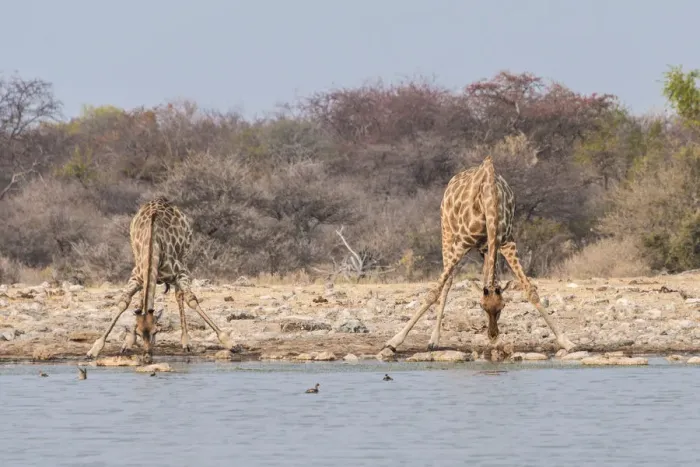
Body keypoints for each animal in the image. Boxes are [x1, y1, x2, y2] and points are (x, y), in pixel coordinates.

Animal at [86, 197, 237, 361]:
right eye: (140, 333)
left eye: (156, 331)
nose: (147, 356)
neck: (153, 245)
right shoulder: (136, 277)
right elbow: (124, 302)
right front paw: (96, 349)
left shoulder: (180, 273)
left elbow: (191, 300)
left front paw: (229, 342)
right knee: (143, 299)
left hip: (184, 256)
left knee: (179, 295)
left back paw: (185, 342)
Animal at [380, 156, 575, 356]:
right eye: (481, 306)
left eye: (503, 306)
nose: (493, 335)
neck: (490, 200)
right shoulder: (462, 243)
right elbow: (434, 291)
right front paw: (393, 341)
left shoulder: (507, 243)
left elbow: (530, 290)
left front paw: (566, 342)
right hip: (447, 231)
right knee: (448, 281)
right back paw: (433, 340)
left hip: (485, 248)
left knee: (485, 276)